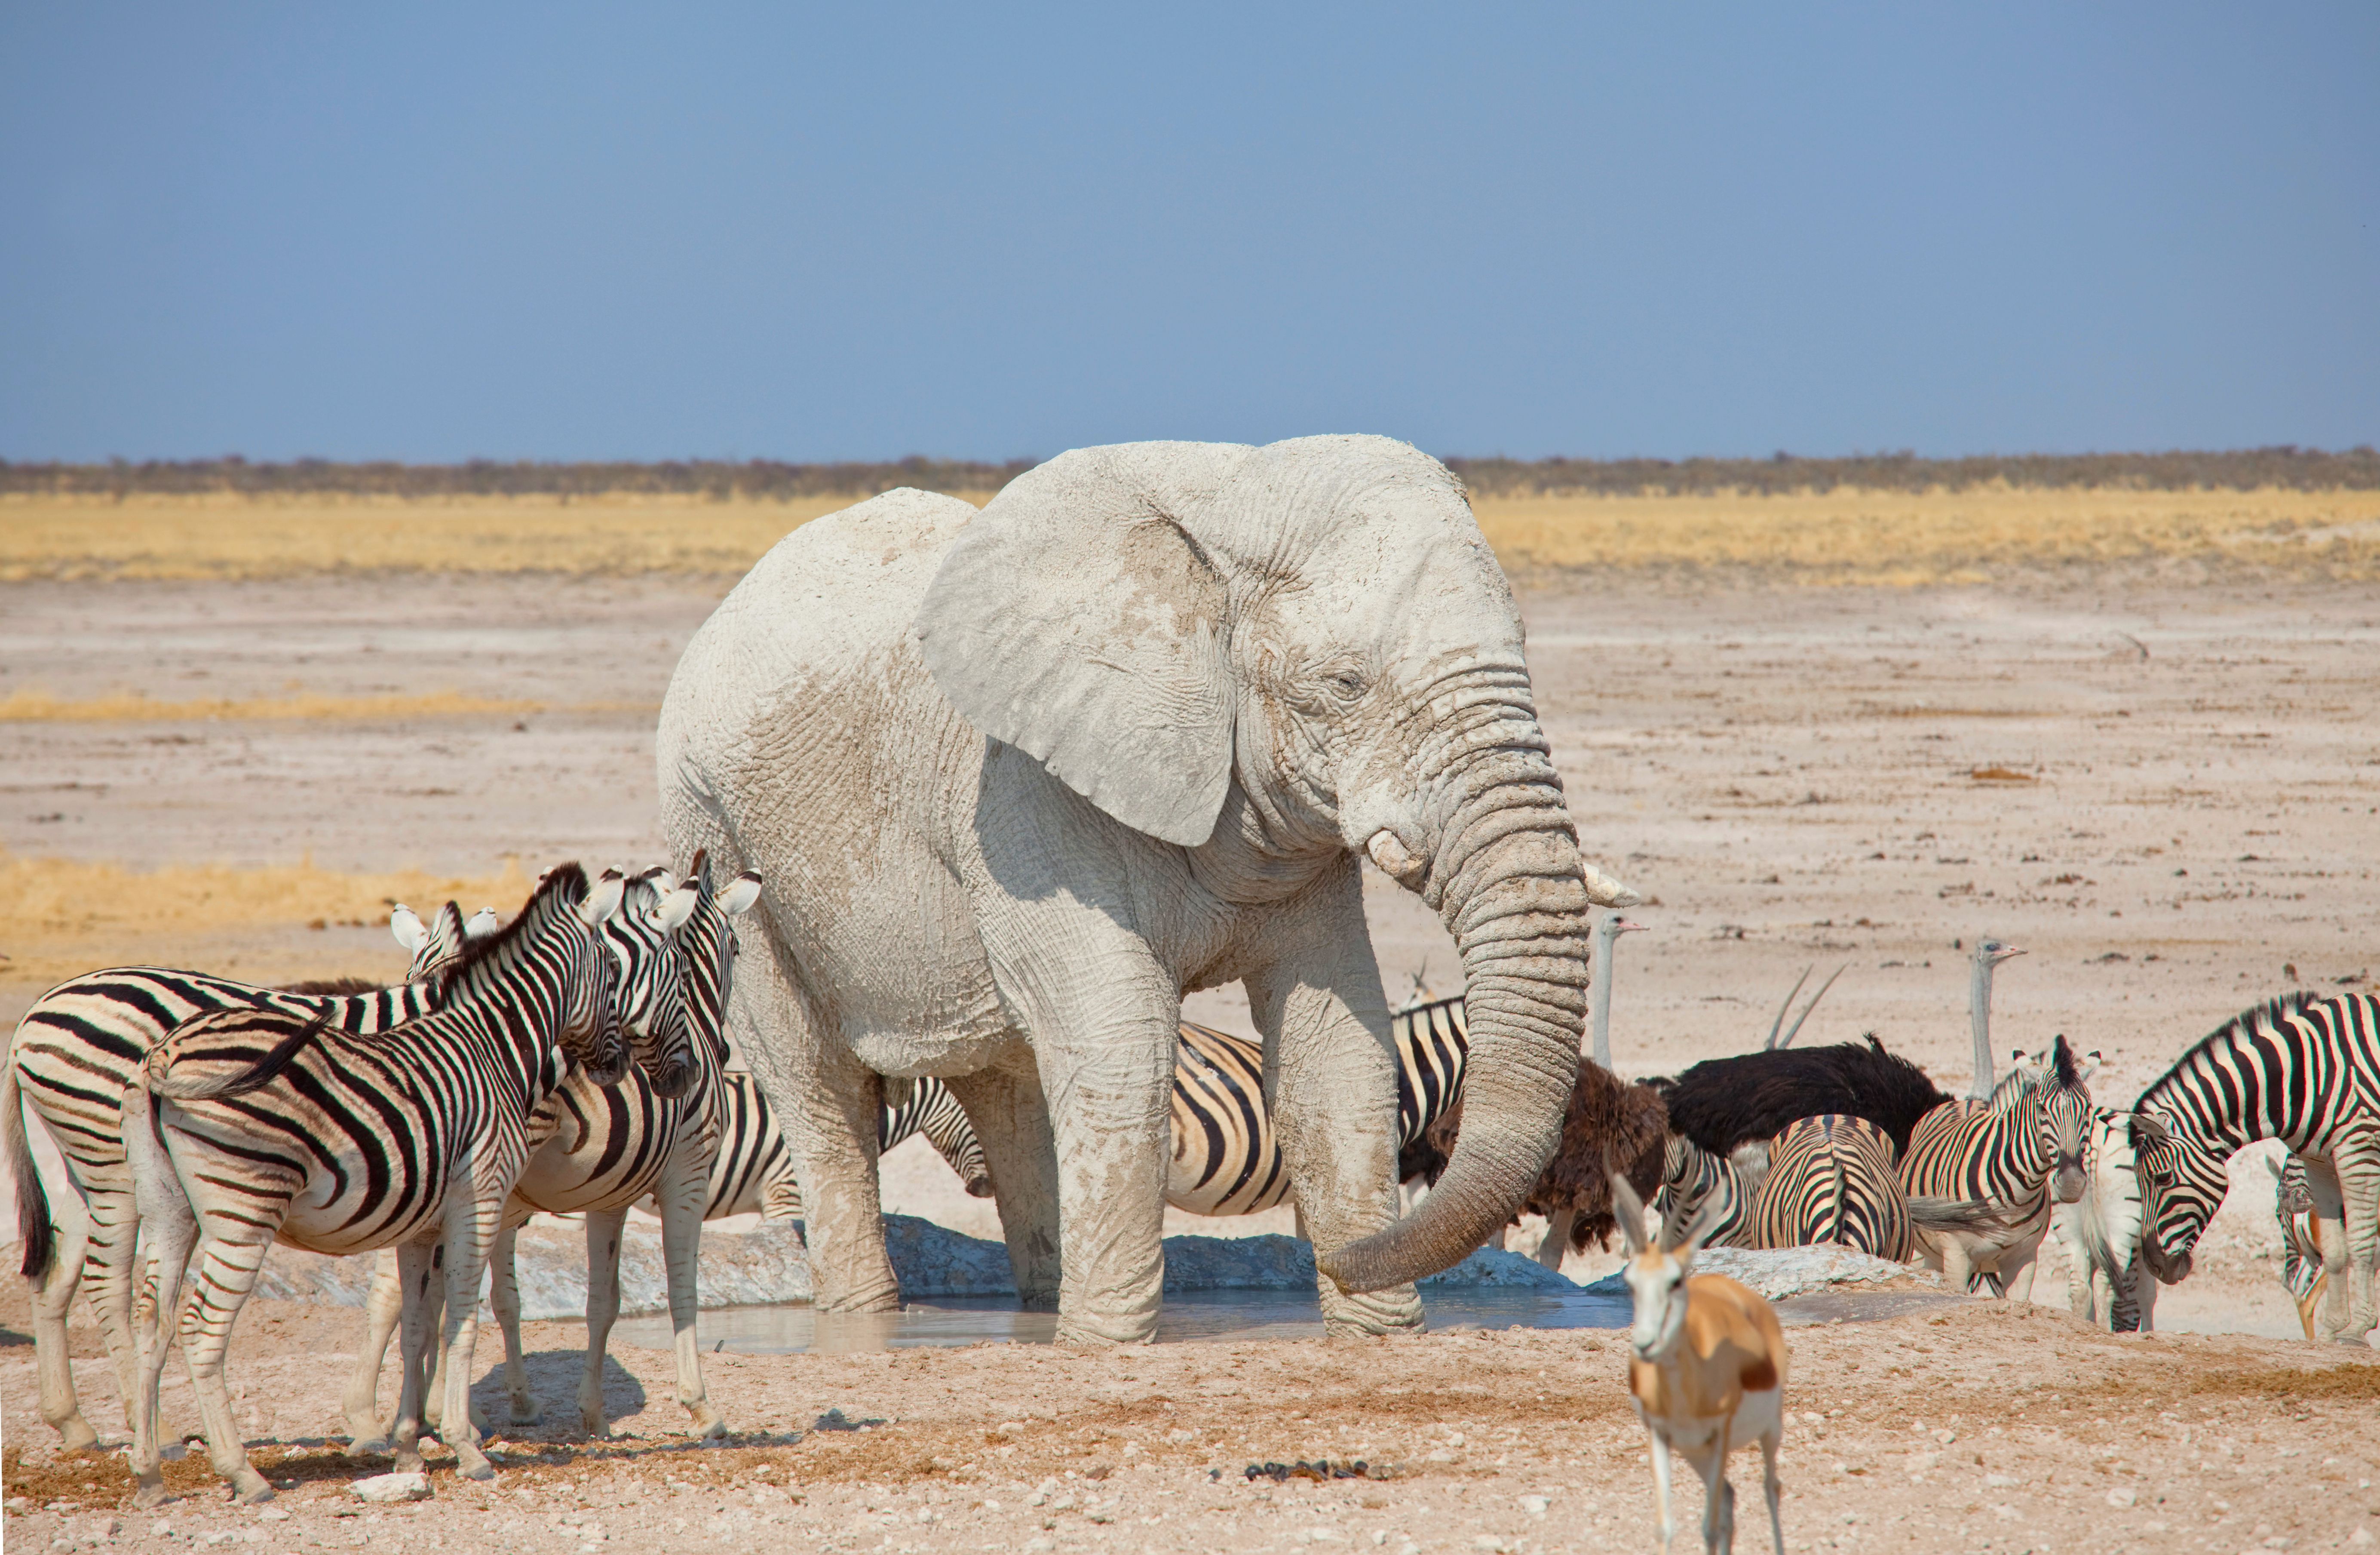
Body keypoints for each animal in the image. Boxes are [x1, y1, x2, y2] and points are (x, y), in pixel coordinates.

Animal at [656, 435, 1636, 1346]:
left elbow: (1337, 1041)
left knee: (1011, 1093)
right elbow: (1118, 1036)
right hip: (715, 832)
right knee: (819, 1090)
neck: (1227, 500)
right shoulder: (1023, 789)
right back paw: (869, 1324)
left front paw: (1378, 1334)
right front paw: (1107, 1348)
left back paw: (1039, 1305)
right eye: (1342, 685)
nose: (1334, 1261)